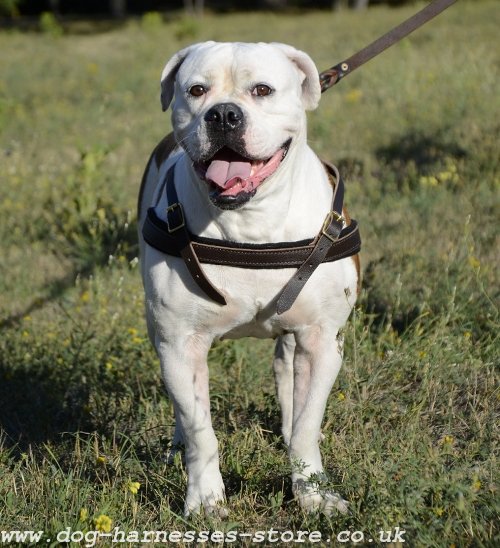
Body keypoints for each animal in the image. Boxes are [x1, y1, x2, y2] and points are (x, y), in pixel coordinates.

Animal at [139, 40, 362, 516]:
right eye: (197, 90)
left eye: (262, 89)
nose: (223, 114)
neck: (251, 219)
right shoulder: (180, 344)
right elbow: (201, 432)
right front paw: (205, 500)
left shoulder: (321, 341)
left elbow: (307, 425)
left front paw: (313, 493)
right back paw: (175, 445)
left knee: (287, 373)